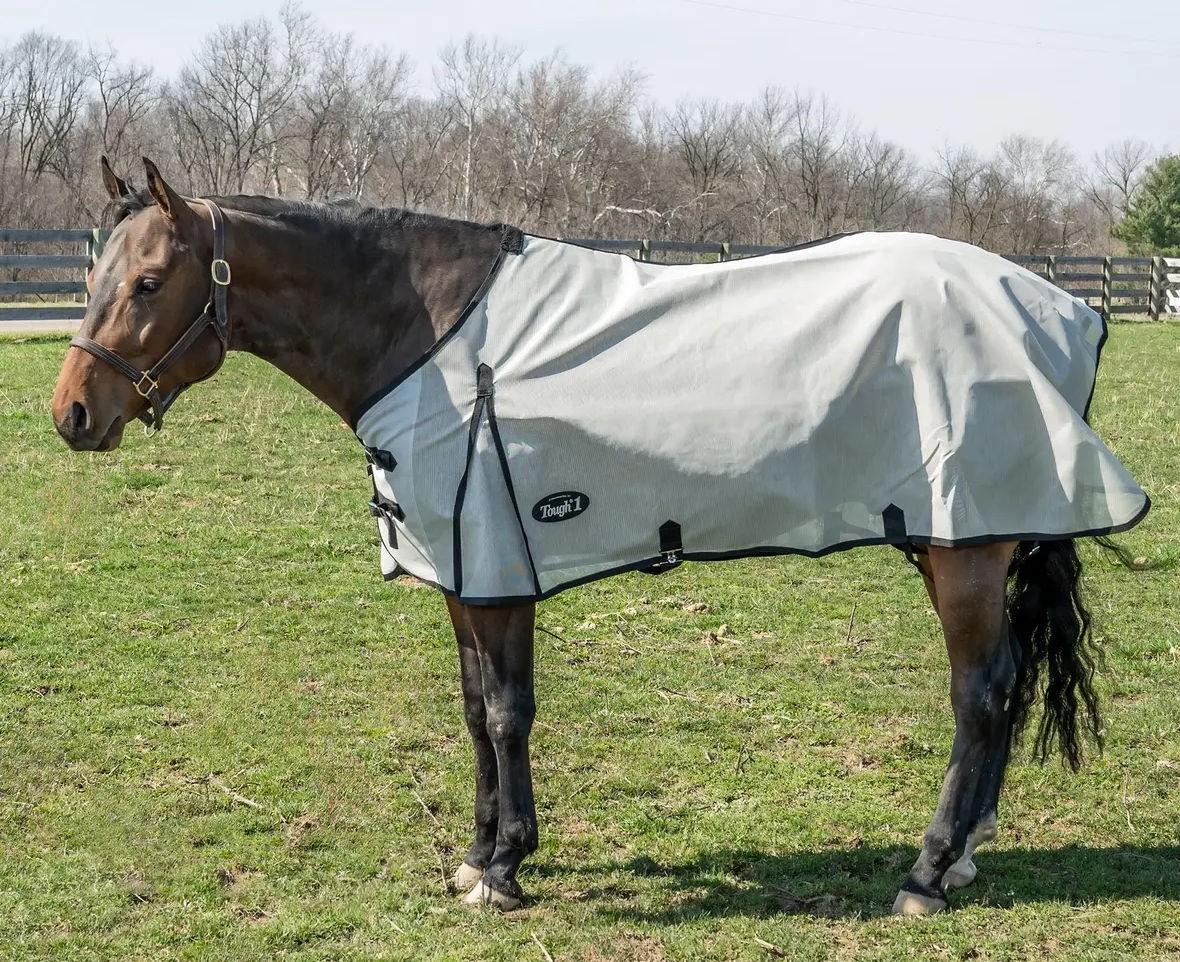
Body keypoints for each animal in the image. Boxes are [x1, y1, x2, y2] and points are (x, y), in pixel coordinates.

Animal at [52, 157, 1149, 915]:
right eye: (94, 271)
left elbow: (506, 713)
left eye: (148, 282)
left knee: (980, 692)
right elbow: (473, 711)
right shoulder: (465, 570)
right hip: (963, 536)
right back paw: (965, 855)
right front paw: (479, 852)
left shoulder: (498, 566)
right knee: (1003, 684)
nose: (70, 413)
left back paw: (926, 869)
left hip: (964, 546)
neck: (429, 334)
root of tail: (1057, 308)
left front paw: (503, 868)